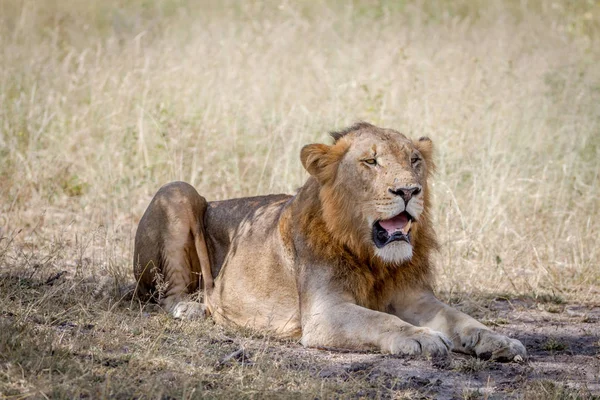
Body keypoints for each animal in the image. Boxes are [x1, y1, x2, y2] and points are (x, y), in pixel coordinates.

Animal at [134, 121, 528, 360]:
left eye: (415, 160)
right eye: (371, 161)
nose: (409, 190)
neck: (374, 259)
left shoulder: (415, 297)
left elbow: (461, 318)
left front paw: (499, 340)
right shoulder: (325, 313)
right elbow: (381, 321)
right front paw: (424, 337)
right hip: (178, 191)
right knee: (165, 294)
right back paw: (193, 307)